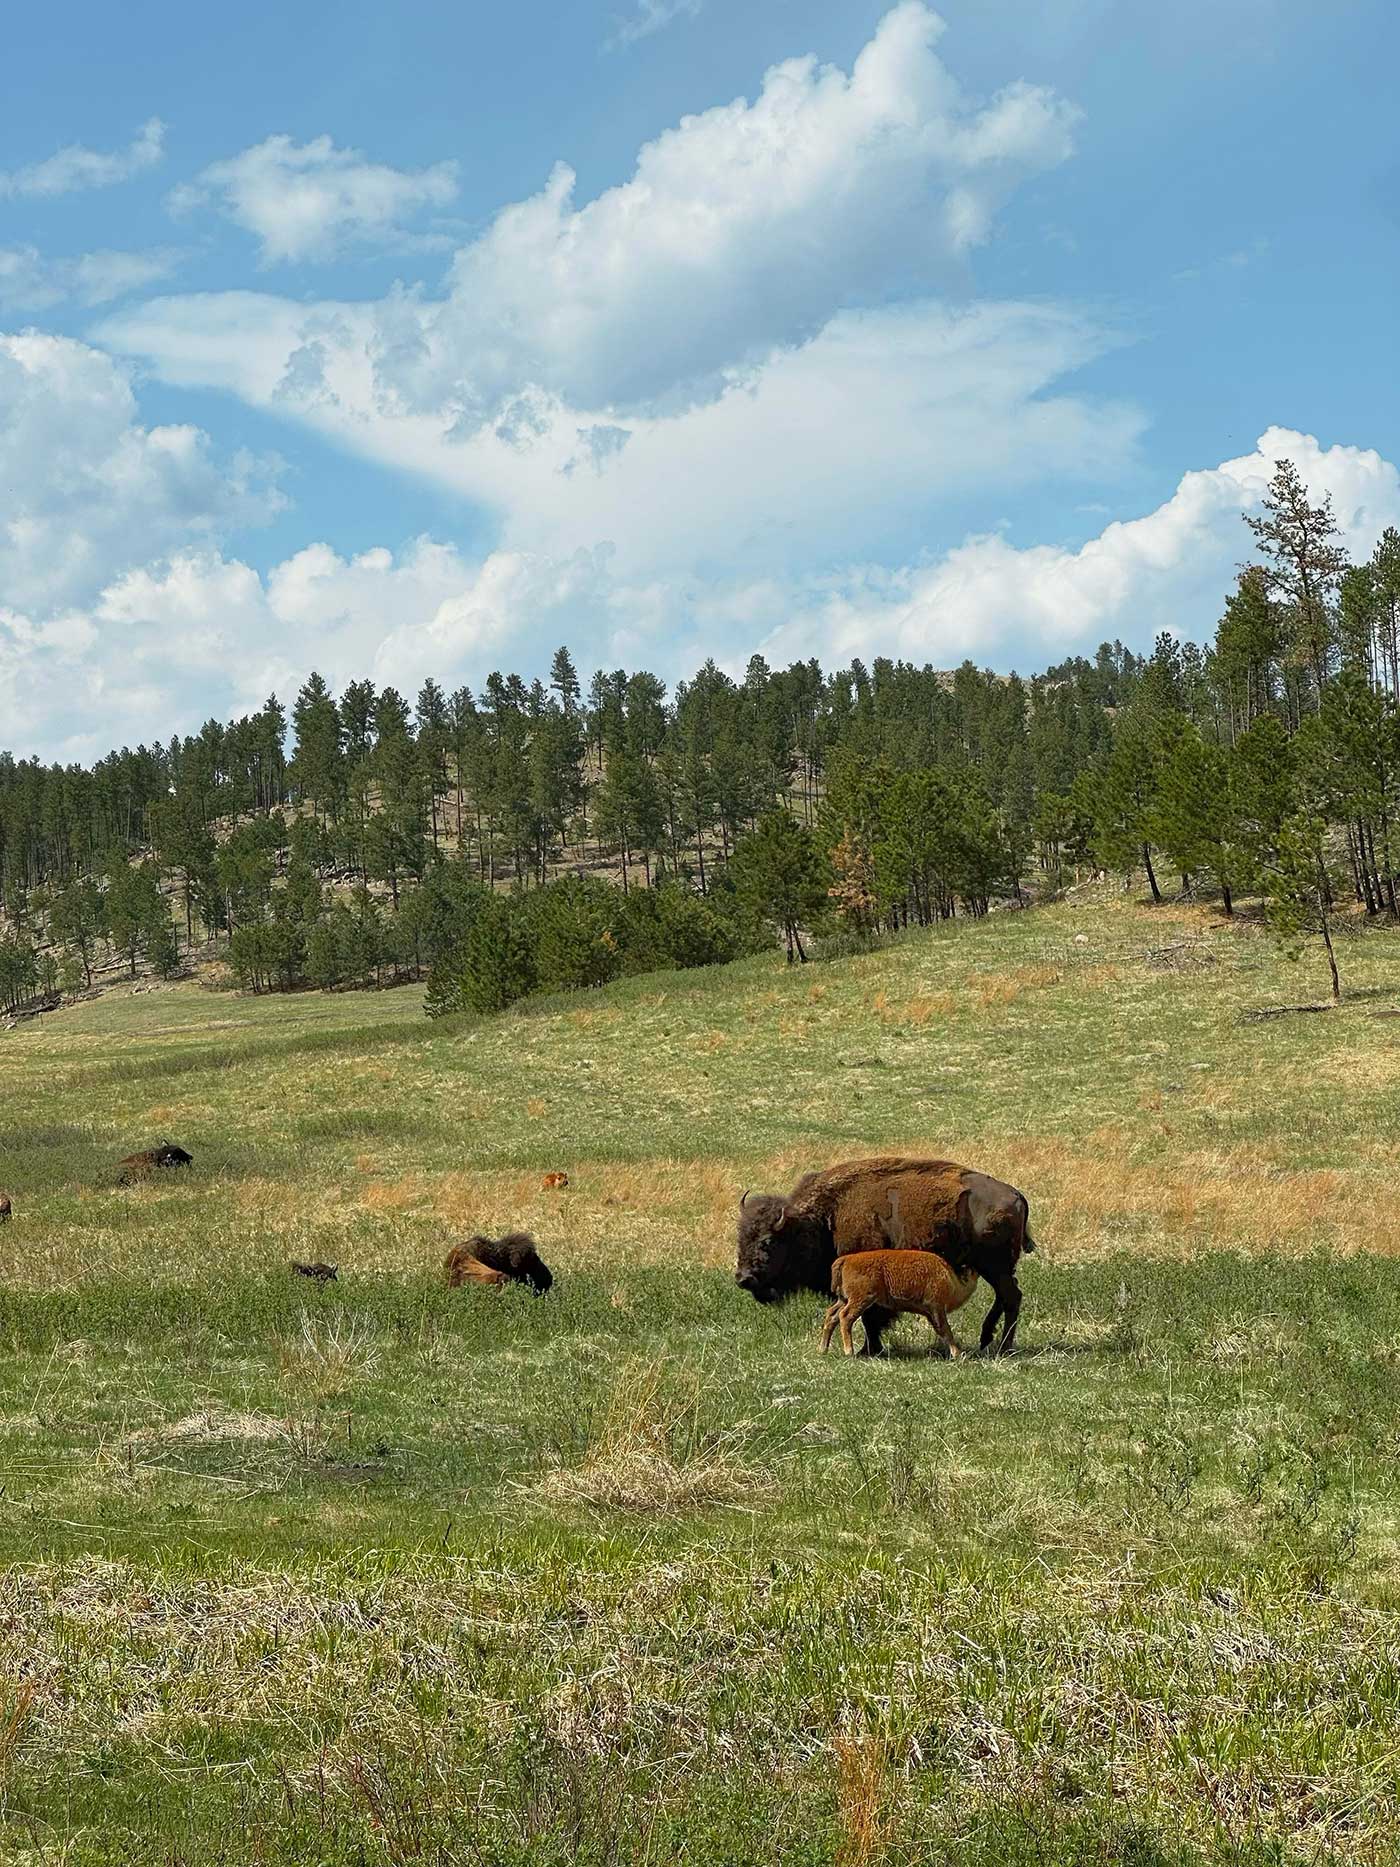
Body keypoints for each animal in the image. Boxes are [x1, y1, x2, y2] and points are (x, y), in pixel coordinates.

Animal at [736, 1155, 1036, 1355]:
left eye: (767, 1242)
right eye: (740, 1237)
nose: (743, 1278)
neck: (826, 1216)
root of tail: (1016, 1194)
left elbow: (870, 1317)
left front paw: (868, 1350)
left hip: (995, 1266)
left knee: (1011, 1297)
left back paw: (1003, 1346)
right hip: (993, 1267)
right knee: (1005, 1297)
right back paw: (987, 1340)